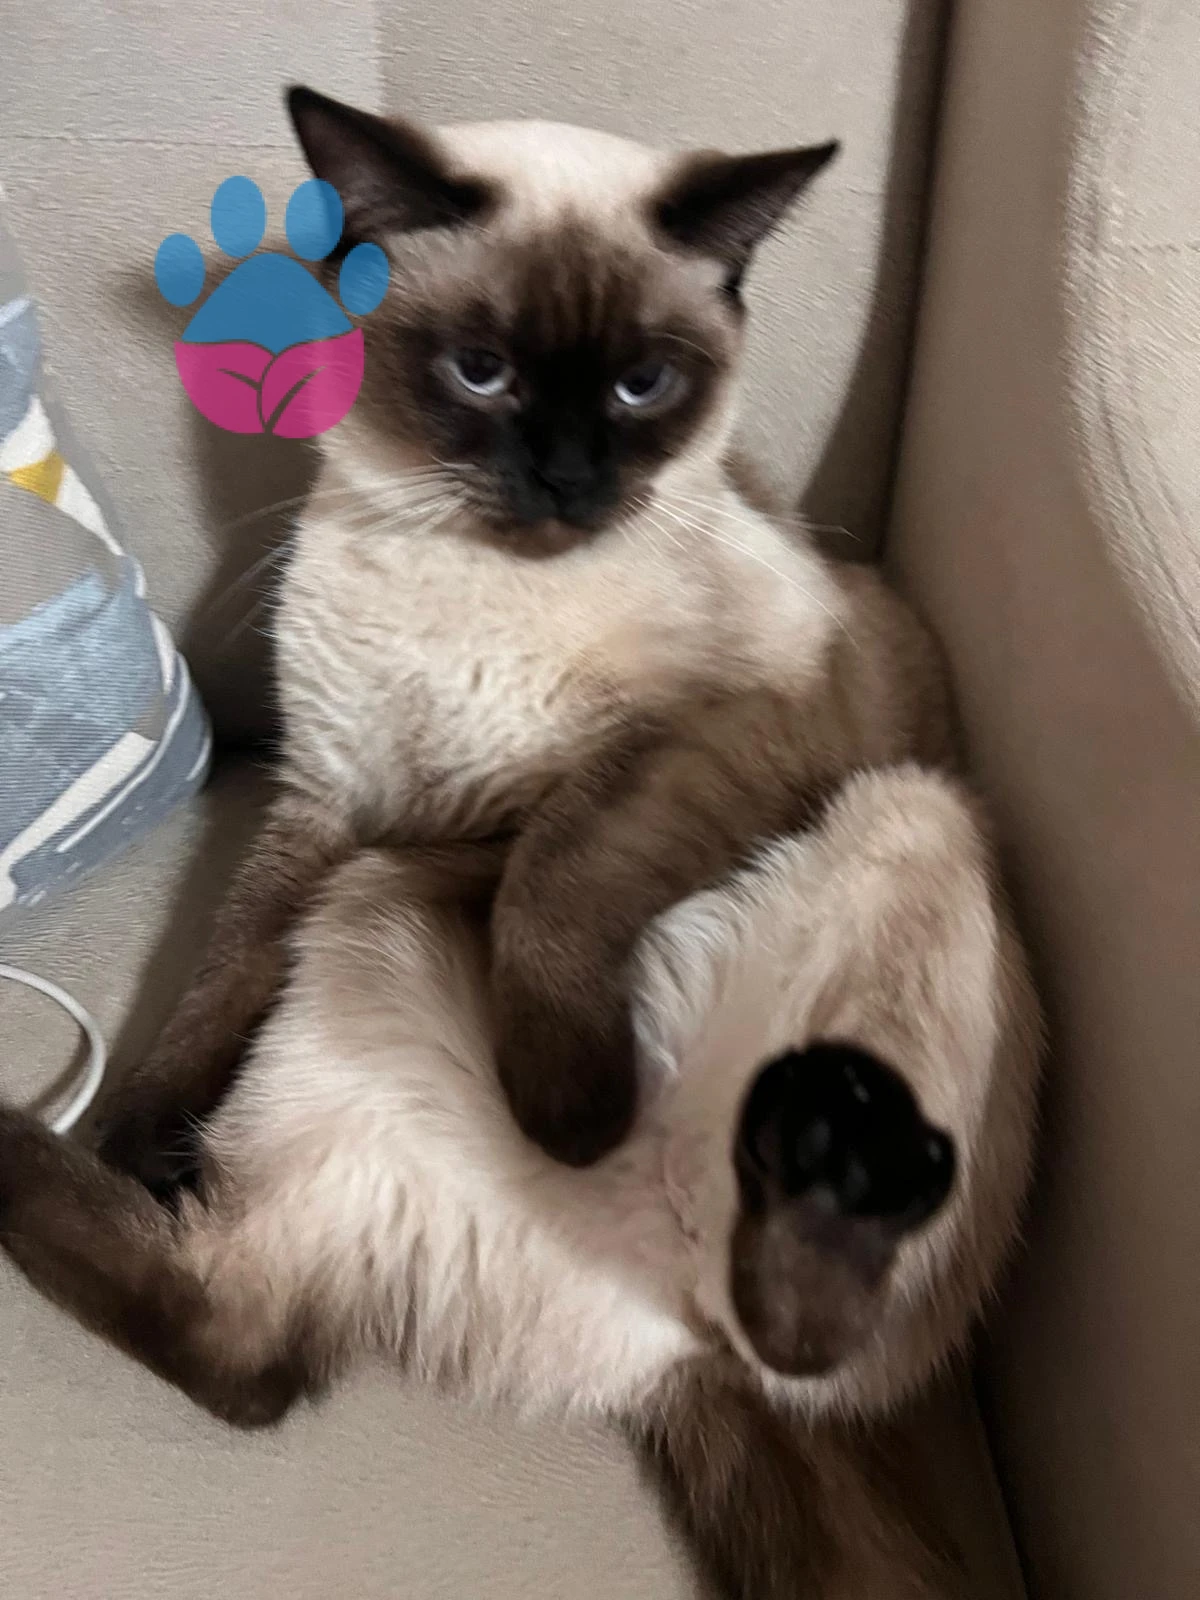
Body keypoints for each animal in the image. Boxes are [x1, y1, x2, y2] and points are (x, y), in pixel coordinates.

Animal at [0, 88, 1042, 1597]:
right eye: (482, 372)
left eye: (642, 387)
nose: (564, 477)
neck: (482, 592)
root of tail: (671, 1342)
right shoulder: (325, 803)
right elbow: (209, 990)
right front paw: (147, 1136)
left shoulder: (710, 740)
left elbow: (553, 860)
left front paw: (564, 1101)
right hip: (356, 978)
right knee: (248, 1352)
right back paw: (28, 1149)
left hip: (905, 805)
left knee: (797, 1346)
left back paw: (798, 1161)